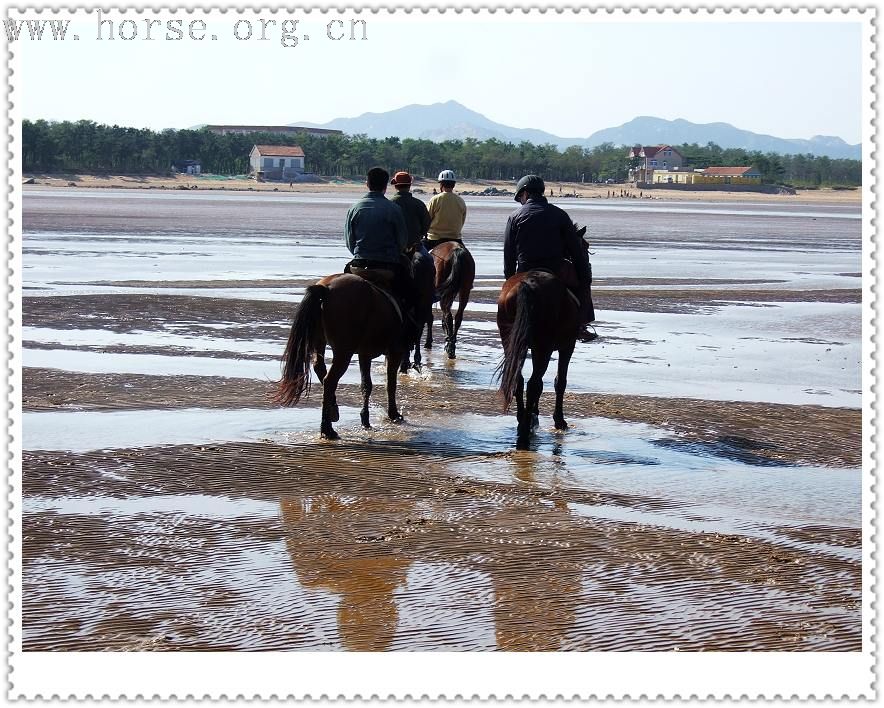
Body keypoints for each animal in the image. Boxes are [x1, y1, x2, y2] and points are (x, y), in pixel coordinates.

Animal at [276, 274, 408, 440]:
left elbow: (366, 385)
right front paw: (393, 414)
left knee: (320, 369)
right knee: (330, 380)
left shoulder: (365, 354)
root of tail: (326, 288)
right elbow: (390, 384)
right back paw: (327, 430)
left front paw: (365, 419)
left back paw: (332, 411)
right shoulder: (395, 351)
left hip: (321, 342)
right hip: (344, 352)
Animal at [498, 270, 580, 448]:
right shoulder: (568, 346)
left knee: (519, 381)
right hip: (544, 347)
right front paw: (559, 421)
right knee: (533, 384)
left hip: (510, 341)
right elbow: (560, 382)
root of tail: (528, 282)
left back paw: (523, 421)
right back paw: (525, 431)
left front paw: (534, 415)